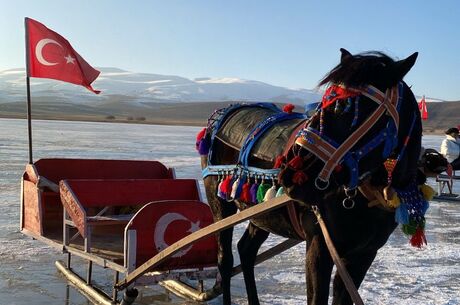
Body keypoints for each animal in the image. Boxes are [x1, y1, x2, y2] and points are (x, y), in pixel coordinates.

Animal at [200, 48, 424, 302]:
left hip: (262, 214)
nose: (291, 173)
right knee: (225, 261)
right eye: (324, 104)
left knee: (246, 250)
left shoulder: (364, 255)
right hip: (220, 205)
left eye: (345, 106)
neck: (369, 196)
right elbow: (316, 298)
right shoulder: (319, 245)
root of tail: (226, 111)